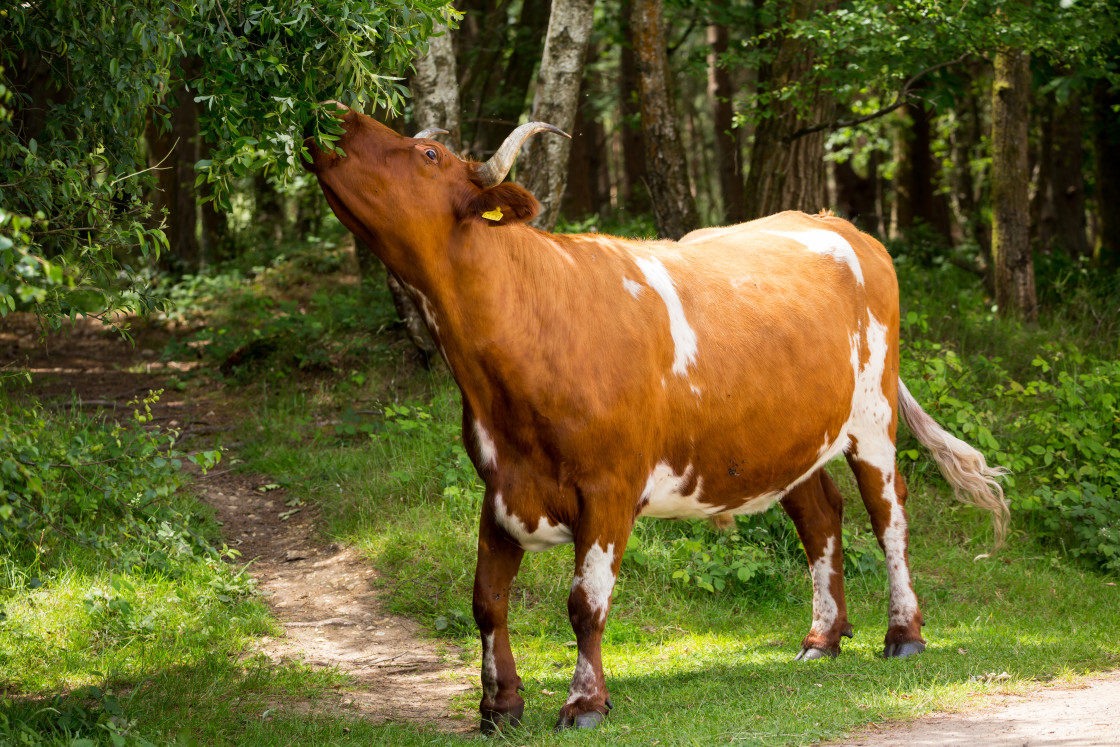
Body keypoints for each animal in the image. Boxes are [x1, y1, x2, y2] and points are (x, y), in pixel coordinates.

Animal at [302, 102, 1012, 734]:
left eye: (428, 154)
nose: (335, 113)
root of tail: (844, 225)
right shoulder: (500, 485)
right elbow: (486, 601)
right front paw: (499, 706)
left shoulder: (608, 487)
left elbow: (584, 605)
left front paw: (584, 704)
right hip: (786, 438)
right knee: (821, 517)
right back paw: (821, 639)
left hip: (872, 418)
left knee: (890, 518)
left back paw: (903, 633)